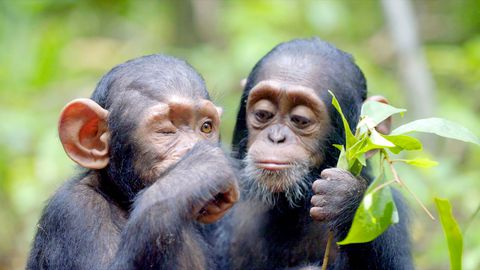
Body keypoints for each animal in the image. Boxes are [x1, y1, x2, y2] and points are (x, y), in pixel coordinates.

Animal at [26, 54, 238, 270]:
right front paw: (195, 173)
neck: (118, 196)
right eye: (165, 131)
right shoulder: (75, 211)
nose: (192, 147)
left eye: (206, 127)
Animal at [217, 38, 412, 270]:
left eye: (300, 120)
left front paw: (347, 199)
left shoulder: (387, 206)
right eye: (263, 114)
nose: (276, 137)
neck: (291, 205)